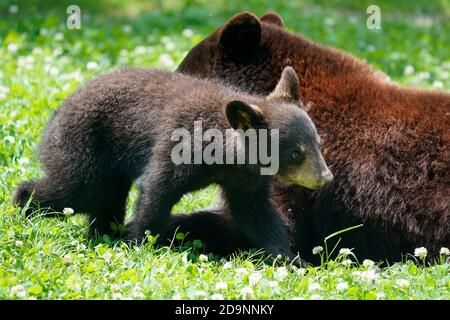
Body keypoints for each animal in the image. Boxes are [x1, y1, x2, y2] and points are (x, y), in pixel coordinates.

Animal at [14, 67, 332, 262]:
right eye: (296, 153)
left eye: (318, 143)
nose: (326, 178)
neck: (226, 156)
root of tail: (58, 109)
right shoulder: (180, 145)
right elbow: (158, 189)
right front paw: (140, 244)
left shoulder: (245, 178)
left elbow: (255, 212)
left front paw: (290, 258)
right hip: (84, 143)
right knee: (81, 190)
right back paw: (21, 205)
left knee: (107, 199)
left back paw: (104, 234)